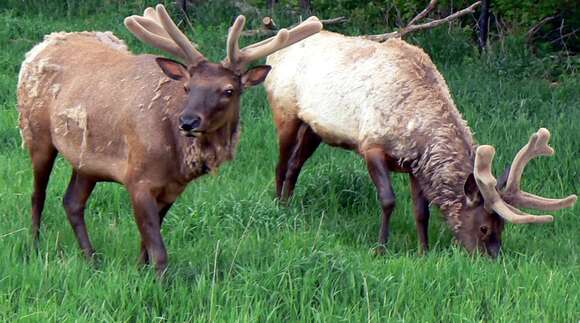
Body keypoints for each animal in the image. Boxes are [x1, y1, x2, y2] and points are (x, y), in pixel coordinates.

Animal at [18, 3, 324, 274]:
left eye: (228, 90)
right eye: (187, 87)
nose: (187, 121)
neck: (177, 157)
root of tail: (40, 46)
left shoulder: (172, 187)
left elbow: (146, 244)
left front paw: (139, 272)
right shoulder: (137, 179)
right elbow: (159, 251)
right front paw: (159, 286)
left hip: (86, 161)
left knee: (72, 201)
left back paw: (92, 259)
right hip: (36, 134)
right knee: (37, 194)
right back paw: (34, 245)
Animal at [264, 8, 576, 258]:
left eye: (502, 227)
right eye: (484, 227)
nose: (493, 258)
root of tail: (275, 53)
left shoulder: (415, 165)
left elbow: (421, 211)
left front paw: (423, 251)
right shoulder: (371, 145)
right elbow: (388, 200)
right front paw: (381, 248)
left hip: (313, 127)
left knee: (295, 165)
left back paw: (288, 204)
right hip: (284, 111)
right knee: (280, 163)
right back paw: (278, 206)